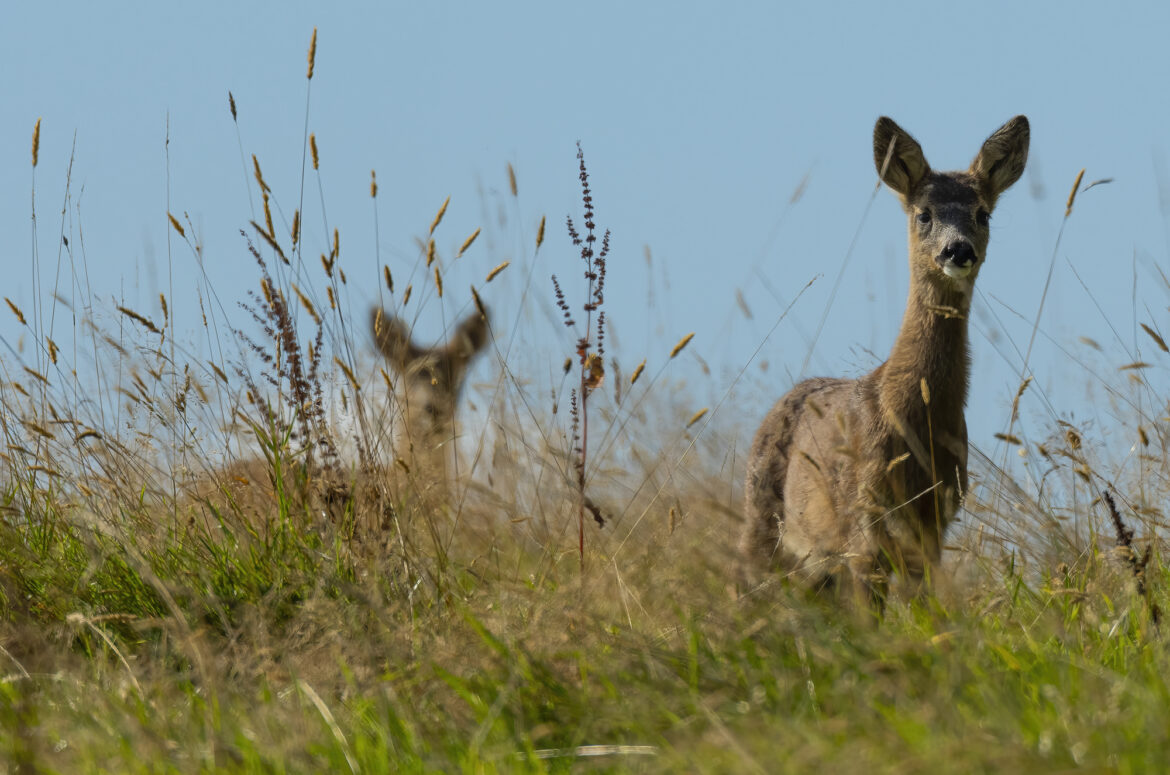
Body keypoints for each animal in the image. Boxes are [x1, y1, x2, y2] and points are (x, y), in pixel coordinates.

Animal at [741, 115, 1029, 607]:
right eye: (924, 214)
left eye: (982, 214)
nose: (958, 250)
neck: (914, 417)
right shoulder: (863, 526)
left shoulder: (933, 526)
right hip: (762, 519)